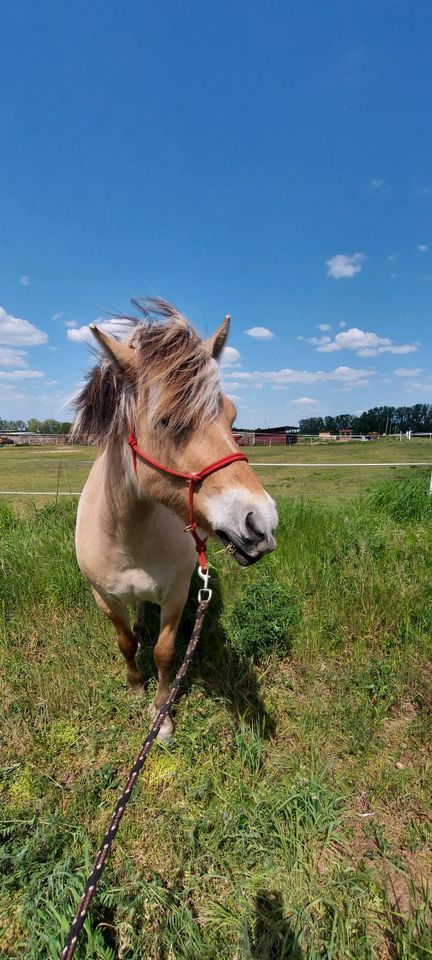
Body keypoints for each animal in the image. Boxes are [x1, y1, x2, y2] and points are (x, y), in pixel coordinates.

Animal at [73, 298, 276, 736]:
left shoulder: (178, 594)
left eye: (232, 418)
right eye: (166, 420)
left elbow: (166, 653)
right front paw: (135, 686)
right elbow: (125, 643)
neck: (127, 535)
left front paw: (161, 714)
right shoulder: (103, 598)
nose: (261, 523)